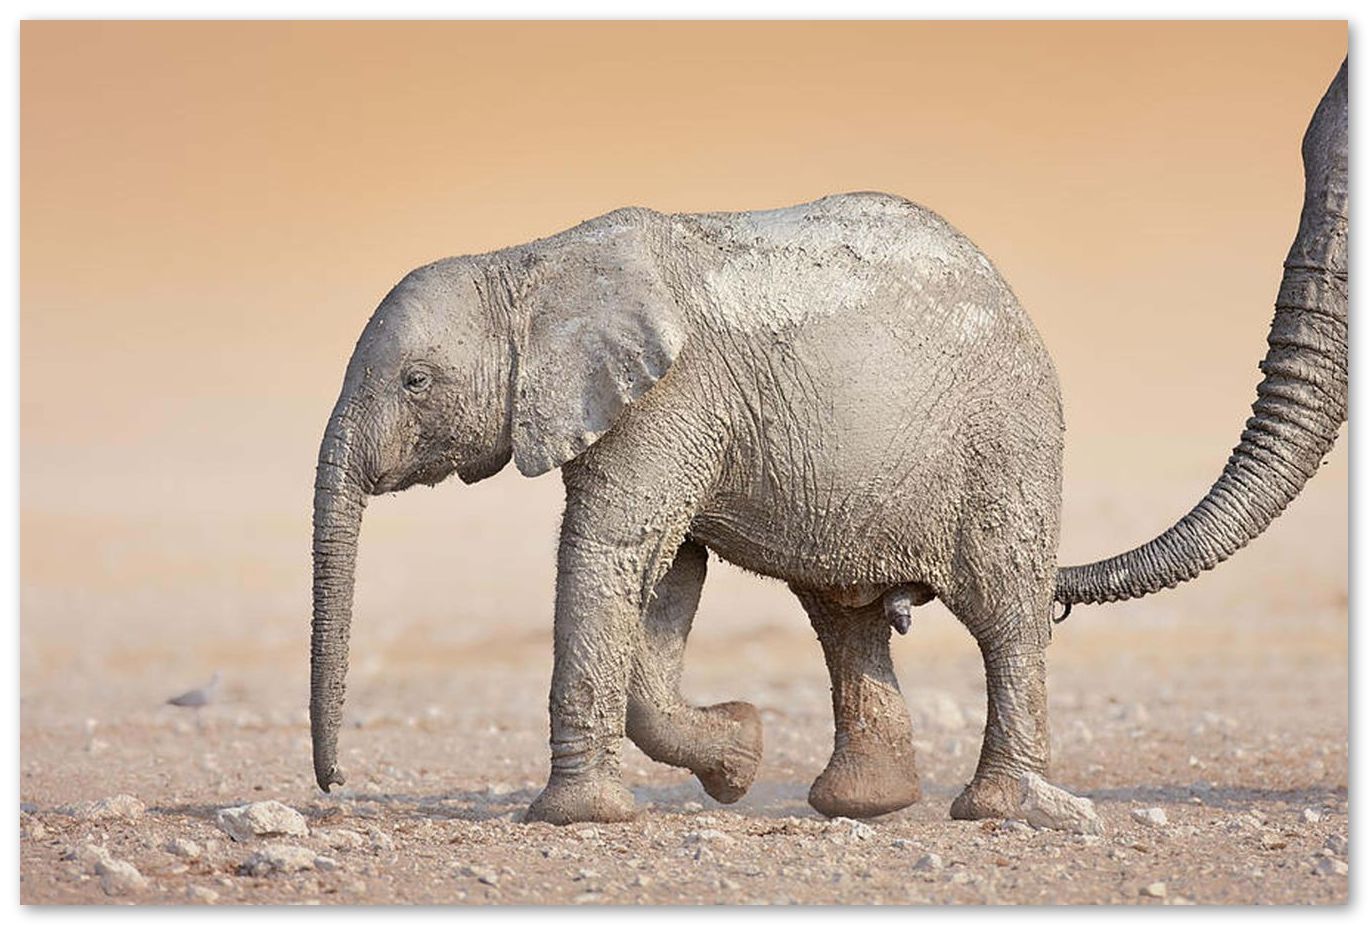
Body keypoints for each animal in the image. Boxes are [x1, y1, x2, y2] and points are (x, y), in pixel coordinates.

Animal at [311, 58, 1346, 825]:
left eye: (413, 383)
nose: (336, 785)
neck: (531, 262)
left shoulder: (668, 400)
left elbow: (610, 552)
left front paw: (579, 818)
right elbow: (665, 573)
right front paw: (737, 752)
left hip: (1006, 441)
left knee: (1004, 612)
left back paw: (1003, 811)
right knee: (845, 613)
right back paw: (863, 806)